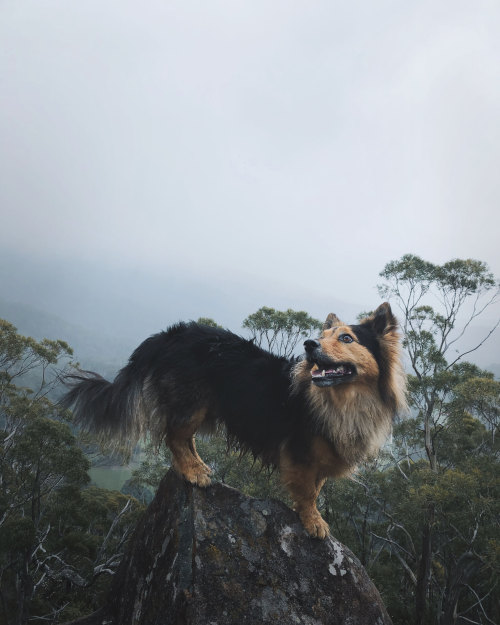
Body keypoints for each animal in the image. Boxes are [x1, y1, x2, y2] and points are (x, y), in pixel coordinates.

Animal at [62, 302, 406, 536]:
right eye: (323, 336)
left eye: (347, 339)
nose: (309, 345)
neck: (342, 401)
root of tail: (169, 334)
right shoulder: (301, 454)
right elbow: (308, 492)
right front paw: (313, 521)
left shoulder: (321, 457)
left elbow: (316, 487)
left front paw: (311, 514)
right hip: (192, 403)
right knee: (174, 437)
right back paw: (193, 472)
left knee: (183, 438)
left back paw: (198, 466)